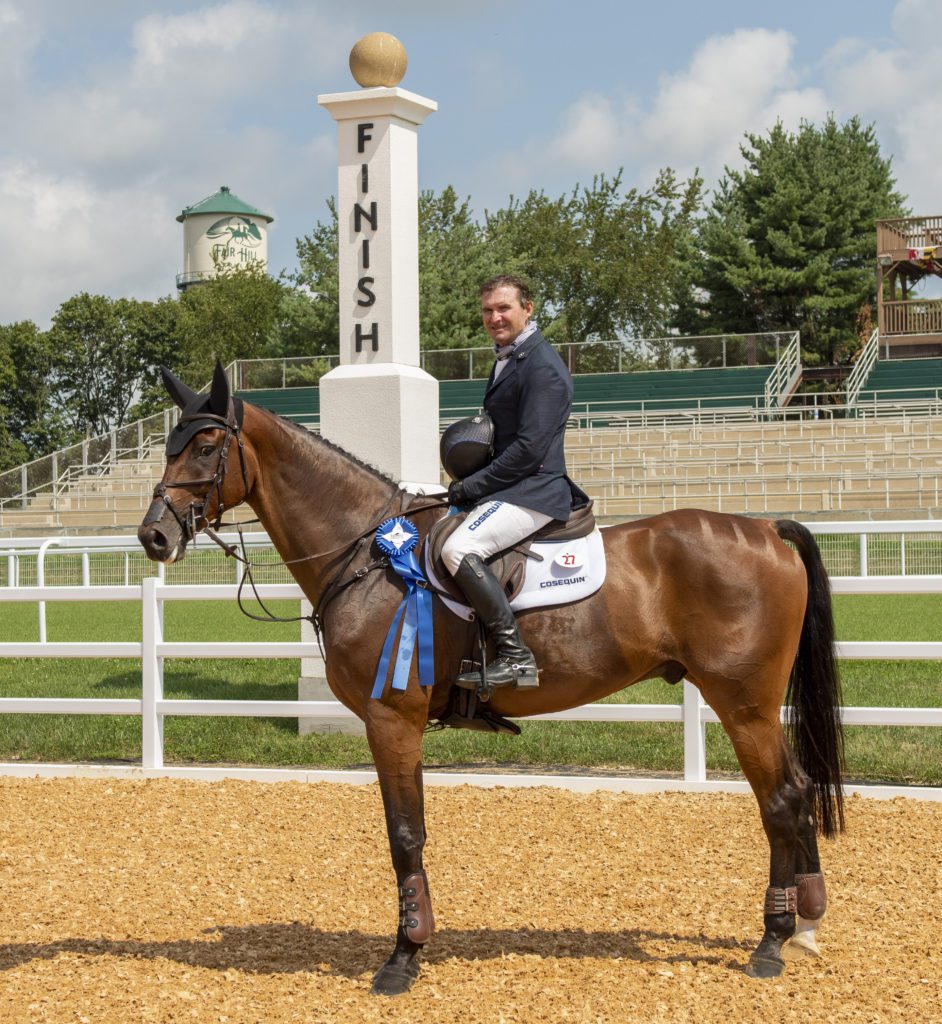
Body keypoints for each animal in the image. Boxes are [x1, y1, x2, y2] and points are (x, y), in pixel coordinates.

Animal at [138, 364, 847, 995]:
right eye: (169, 446)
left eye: (205, 447)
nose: (154, 536)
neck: (367, 553)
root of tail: (765, 528)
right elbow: (408, 833)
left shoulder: (392, 718)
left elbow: (404, 835)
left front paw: (403, 956)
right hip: (752, 708)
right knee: (797, 792)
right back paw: (807, 922)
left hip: (744, 705)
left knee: (782, 801)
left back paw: (772, 942)